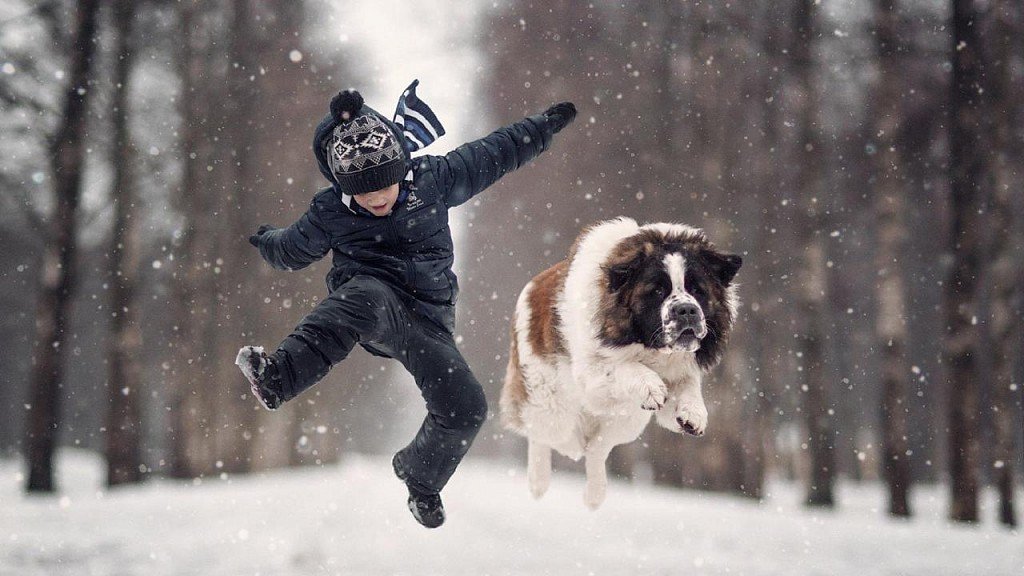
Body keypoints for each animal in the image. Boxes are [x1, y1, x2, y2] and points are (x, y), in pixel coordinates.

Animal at [499, 216, 741, 506]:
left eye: (697, 289)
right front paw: (650, 385)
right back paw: (539, 481)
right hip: (552, 407)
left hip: (627, 419)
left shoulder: (678, 373)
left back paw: (594, 494)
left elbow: (687, 386)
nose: (686, 310)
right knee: (545, 435)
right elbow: (625, 367)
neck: (650, 349)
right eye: (657, 290)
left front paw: (693, 412)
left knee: (596, 448)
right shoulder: (591, 375)